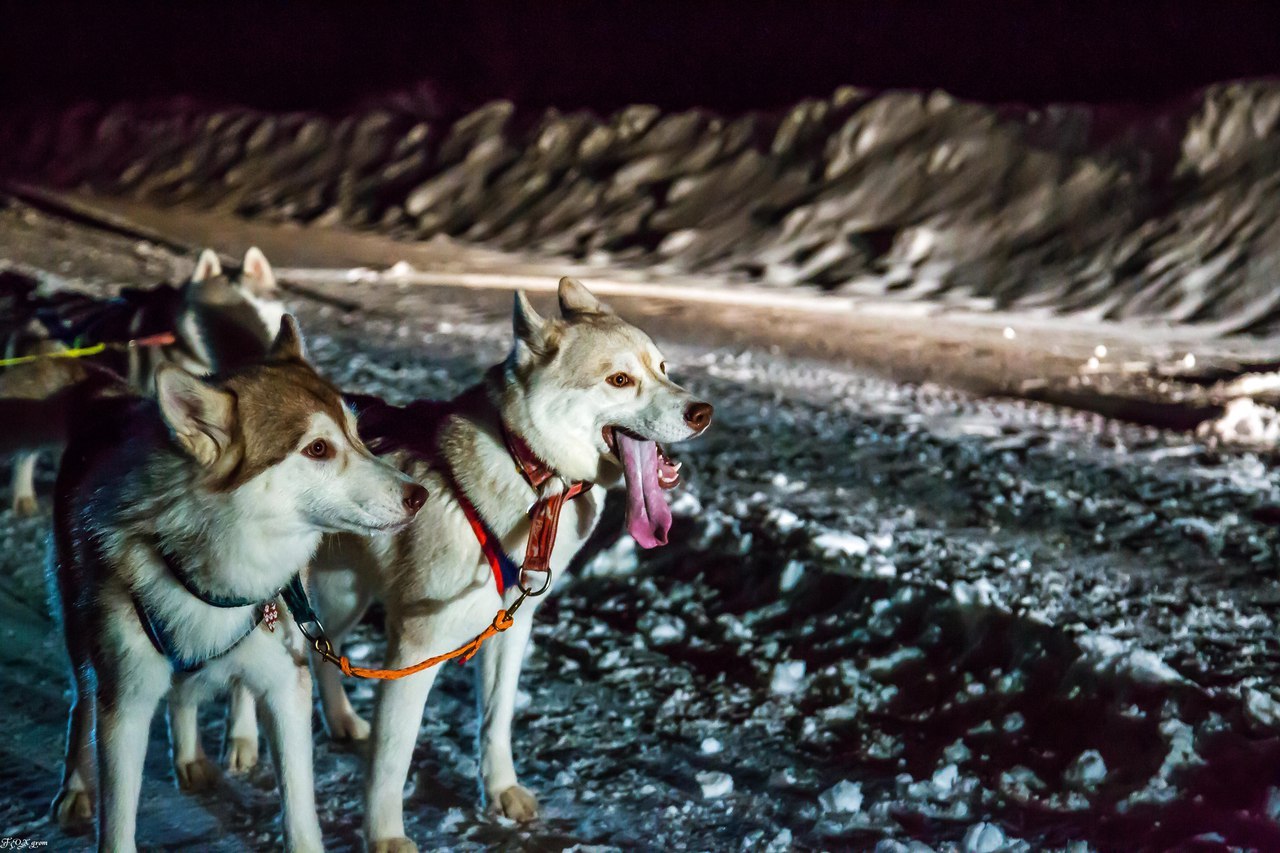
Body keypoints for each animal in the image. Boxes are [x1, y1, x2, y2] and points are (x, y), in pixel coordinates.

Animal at [49, 315, 430, 845]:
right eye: (317, 448)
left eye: (357, 435)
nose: (420, 495)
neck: (216, 575)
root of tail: (114, 399)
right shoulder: (125, 703)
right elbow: (118, 825)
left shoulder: (286, 684)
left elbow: (299, 813)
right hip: (82, 638)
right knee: (81, 702)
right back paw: (76, 789)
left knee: (195, 694)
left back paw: (202, 752)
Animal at [225, 275, 716, 845]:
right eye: (620, 379)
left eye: (664, 368)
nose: (702, 412)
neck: (528, 471)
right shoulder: (417, 647)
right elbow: (392, 760)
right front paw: (385, 836)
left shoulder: (509, 627)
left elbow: (495, 720)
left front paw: (499, 789)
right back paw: (241, 741)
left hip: (343, 596)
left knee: (327, 650)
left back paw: (341, 721)